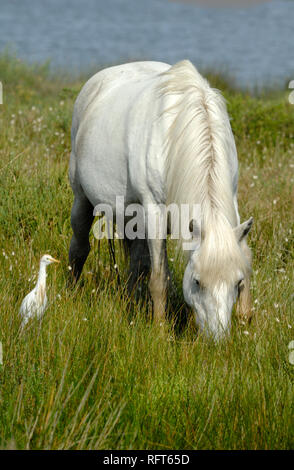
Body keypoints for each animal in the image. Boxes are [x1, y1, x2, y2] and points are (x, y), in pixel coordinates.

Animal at [69, 60, 253, 342]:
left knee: (135, 263)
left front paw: (244, 318)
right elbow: (159, 277)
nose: (217, 341)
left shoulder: (232, 201)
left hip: (132, 218)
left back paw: (130, 304)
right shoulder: (154, 211)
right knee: (79, 248)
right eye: (197, 282)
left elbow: (244, 254)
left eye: (237, 282)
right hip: (82, 200)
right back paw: (68, 293)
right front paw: (159, 330)